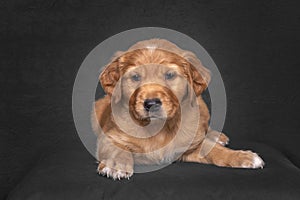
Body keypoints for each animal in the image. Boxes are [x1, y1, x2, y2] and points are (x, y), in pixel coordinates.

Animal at [92, 38, 264, 180]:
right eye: (135, 77)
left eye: (169, 75)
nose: (151, 103)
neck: (159, 129)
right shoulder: (109, 136)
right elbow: (117, 148)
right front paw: (115, 165)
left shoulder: (188, 146)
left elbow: (212, 149)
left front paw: (242, 156)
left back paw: (217, 136)